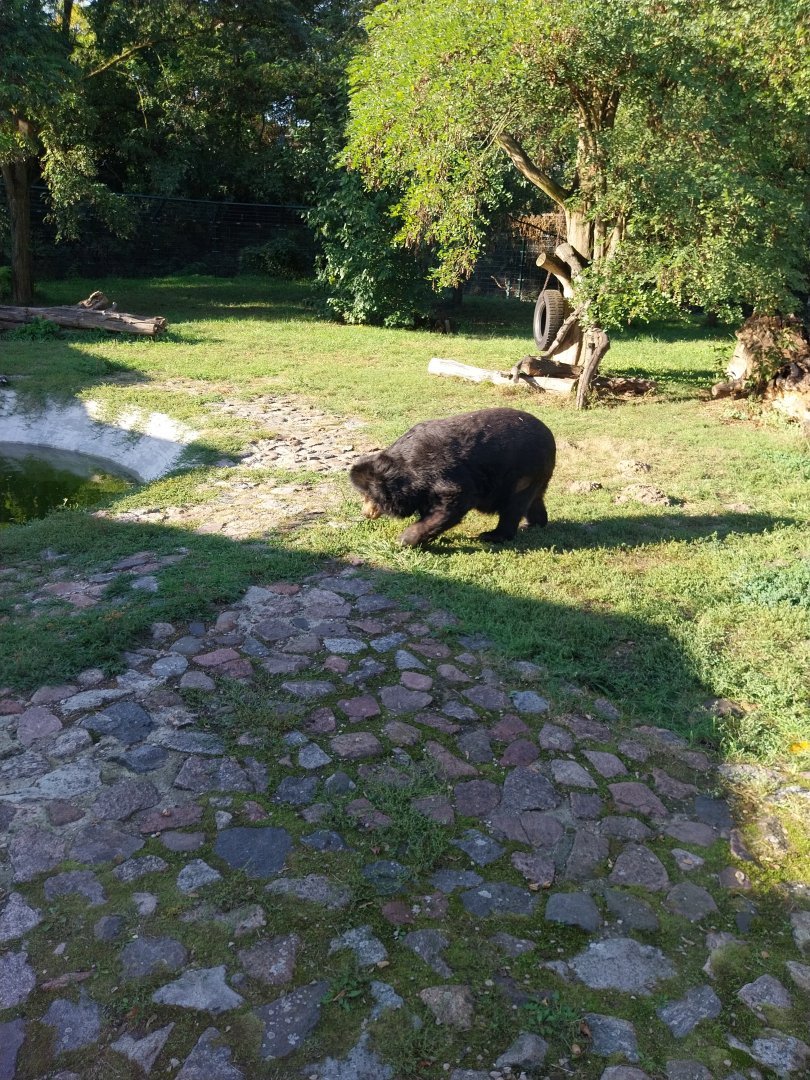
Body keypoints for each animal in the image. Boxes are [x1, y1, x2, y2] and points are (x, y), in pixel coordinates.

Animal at [349, 407, 556, 547]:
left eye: (368, 496)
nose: (365, 513)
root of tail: (549, 435)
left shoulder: (441, 471)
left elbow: (456, 500)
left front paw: (405, 539)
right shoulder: (424, 490)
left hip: (521, 472)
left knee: (513, 506)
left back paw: (493, 535)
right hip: (535, 475)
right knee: (533, 499)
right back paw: (533, 524)